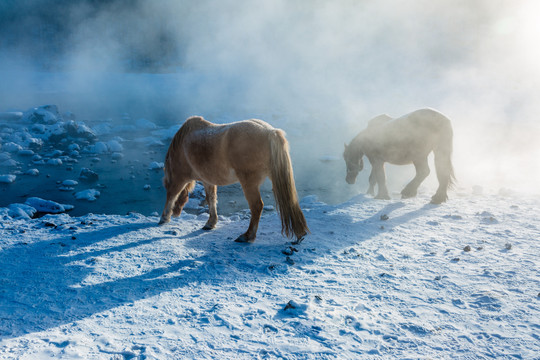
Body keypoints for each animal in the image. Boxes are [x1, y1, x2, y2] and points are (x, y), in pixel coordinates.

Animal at [158, 116, 308, 243]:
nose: (176, 213)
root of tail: (270, 132)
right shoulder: (208, 180)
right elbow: (211, 199)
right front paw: (210, 223)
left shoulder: (180, 178)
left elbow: (172, 195)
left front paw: (164, 218)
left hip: (249, 183)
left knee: (256, 206)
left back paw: (247, 236)